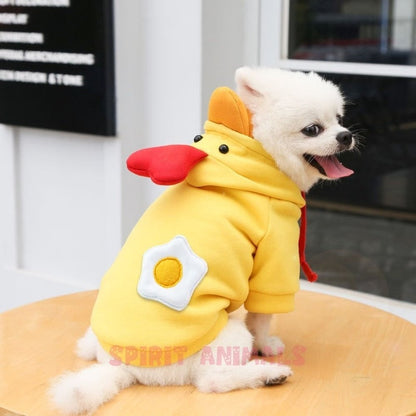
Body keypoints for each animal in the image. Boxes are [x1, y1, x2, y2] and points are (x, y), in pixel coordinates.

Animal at [48, 66, 354, 414]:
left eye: (339, 119)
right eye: (312, 129)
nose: (345, 136)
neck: (254, 153)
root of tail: (121, 366)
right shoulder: (273, 254)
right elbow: (262, 316)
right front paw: (265, 345)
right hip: (225, 334)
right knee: (212, 381)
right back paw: (267, 375)